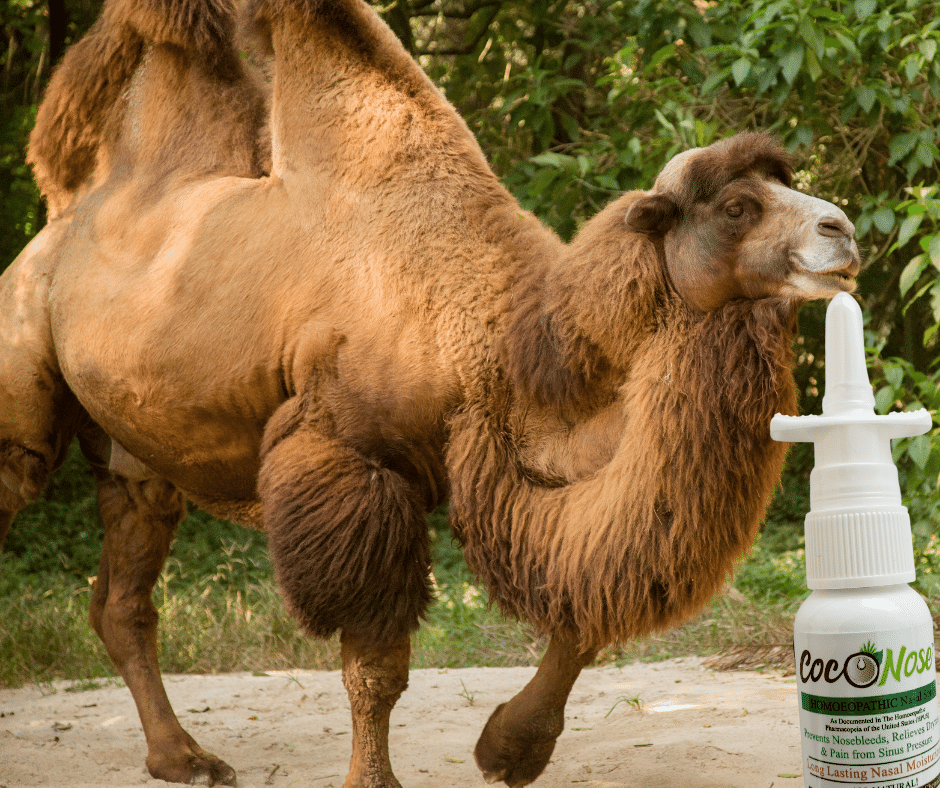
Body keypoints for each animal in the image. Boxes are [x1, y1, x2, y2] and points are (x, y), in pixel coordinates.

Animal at [0, 0, 861, 786]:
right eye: (737, 206)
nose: (844, 230)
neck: (498, 343)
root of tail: (60, 224)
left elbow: (582, 613)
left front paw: (509, 749)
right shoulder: (352, 464)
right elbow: (376, 667)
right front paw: (377, 778)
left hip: (136, 456)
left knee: (122, 599)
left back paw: (182, 758)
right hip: (22, 378)